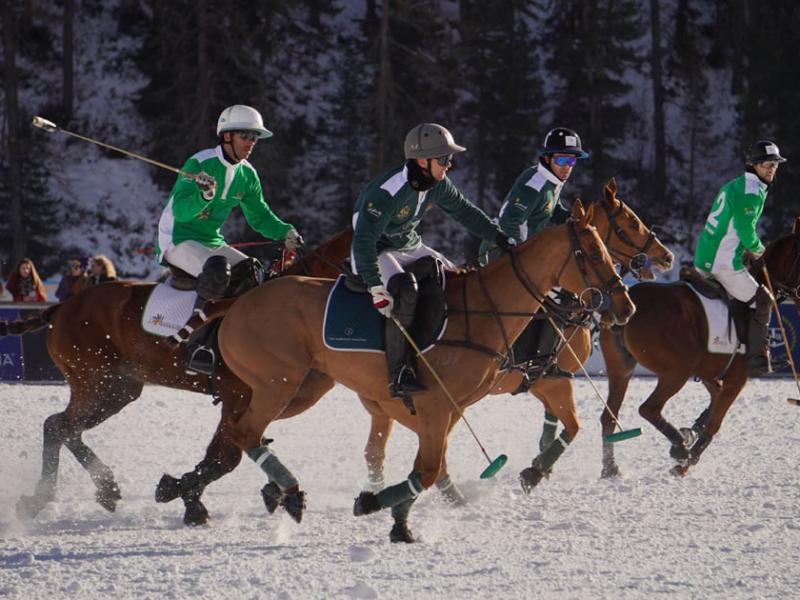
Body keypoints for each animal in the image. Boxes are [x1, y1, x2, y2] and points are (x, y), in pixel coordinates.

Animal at [3, 230, 350, 524]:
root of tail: (59, 309)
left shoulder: (263, 401)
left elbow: (230, 450)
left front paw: (195, 495)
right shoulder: (237, 397)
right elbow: (226, 456)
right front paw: (184, 496)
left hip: (119, 388)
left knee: (64, 427)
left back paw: (103, 488)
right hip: (96, 381)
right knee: (59, 426)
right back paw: (48, 497)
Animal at [197, 199, 636, 540]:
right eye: (593, 253)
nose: (626, 306)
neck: (487, 308)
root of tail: (236, 302)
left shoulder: (447, 407)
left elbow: (431, 466)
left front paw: (399, 520)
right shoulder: (444, 404)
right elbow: (427, 469)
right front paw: (376, 506)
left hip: (296, 388)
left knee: (243, 434)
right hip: (280, 383)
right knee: (243, 432)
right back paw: (284, 492)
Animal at [356, 178, 676, 496]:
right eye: (631, 222)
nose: (668, 257)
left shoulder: (545, 380)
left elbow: (555, 425)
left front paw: (542, 468)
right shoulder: (551, 379)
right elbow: (569, 427)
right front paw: (535, 472)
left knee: (381, 444)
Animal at [596, 217, 800, 478]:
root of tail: (626, 306)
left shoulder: (709, 373)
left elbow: (712, 404)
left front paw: (691, 432)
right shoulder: (737, 378)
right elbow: (714, 423)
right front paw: (686, 460)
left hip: (621, 368)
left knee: (608, 417)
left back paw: (610, 468)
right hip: (677, 371)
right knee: (648, 409)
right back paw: (680, 448)